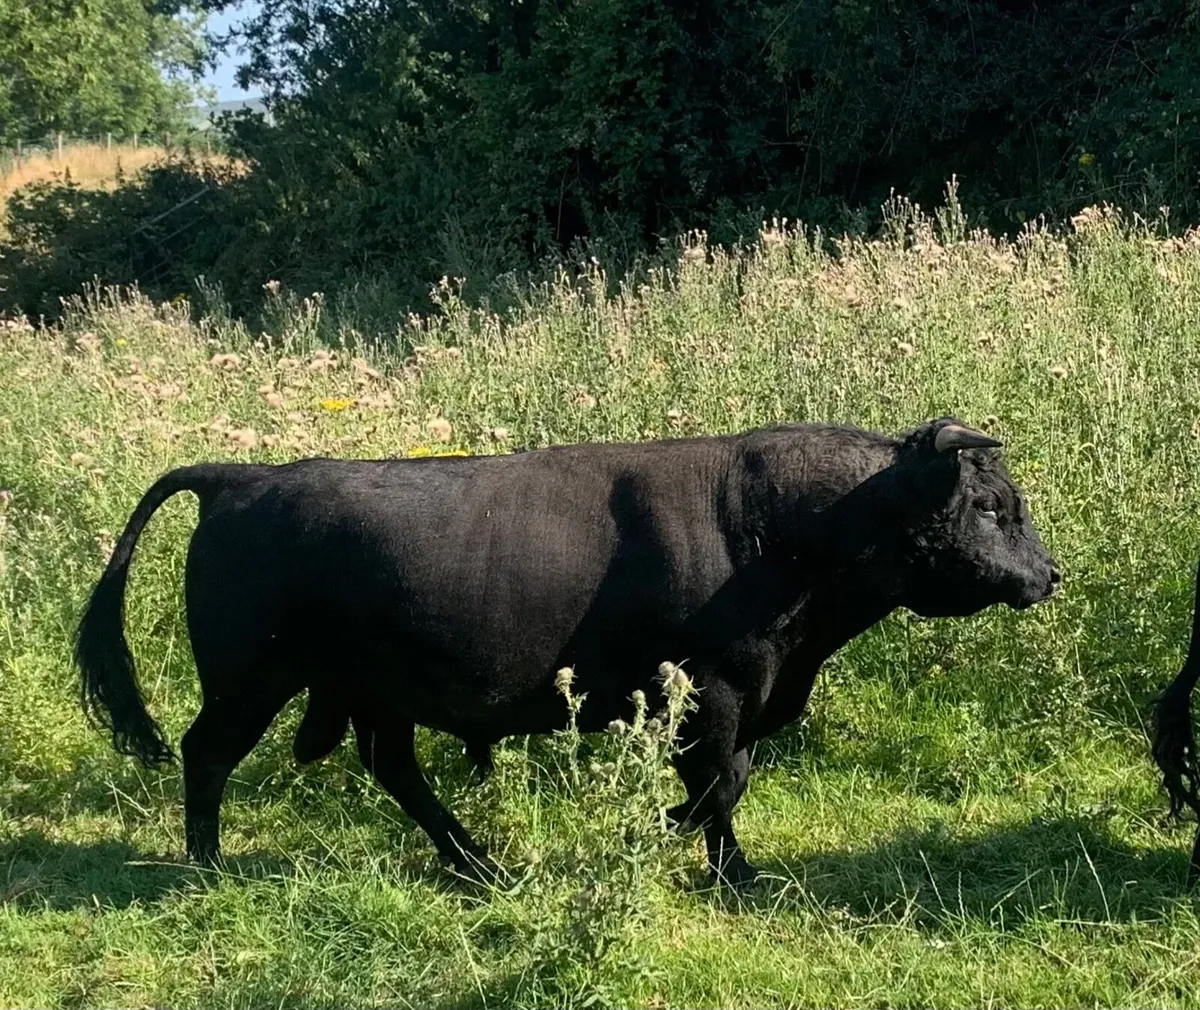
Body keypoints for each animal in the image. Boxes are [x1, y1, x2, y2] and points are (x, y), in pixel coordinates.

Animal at [76, 416, 1060, 887]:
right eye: (990, 506)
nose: (1049, 574)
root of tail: (240, 478)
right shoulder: (715, 691)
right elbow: (719, 785)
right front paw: (677, 847)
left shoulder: (746, 694)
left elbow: (727, 786)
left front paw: (712, 861)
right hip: (250, 681)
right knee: (206, 754)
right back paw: (206, 867)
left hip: (370, 692)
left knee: (394, 769)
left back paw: (476, 862)